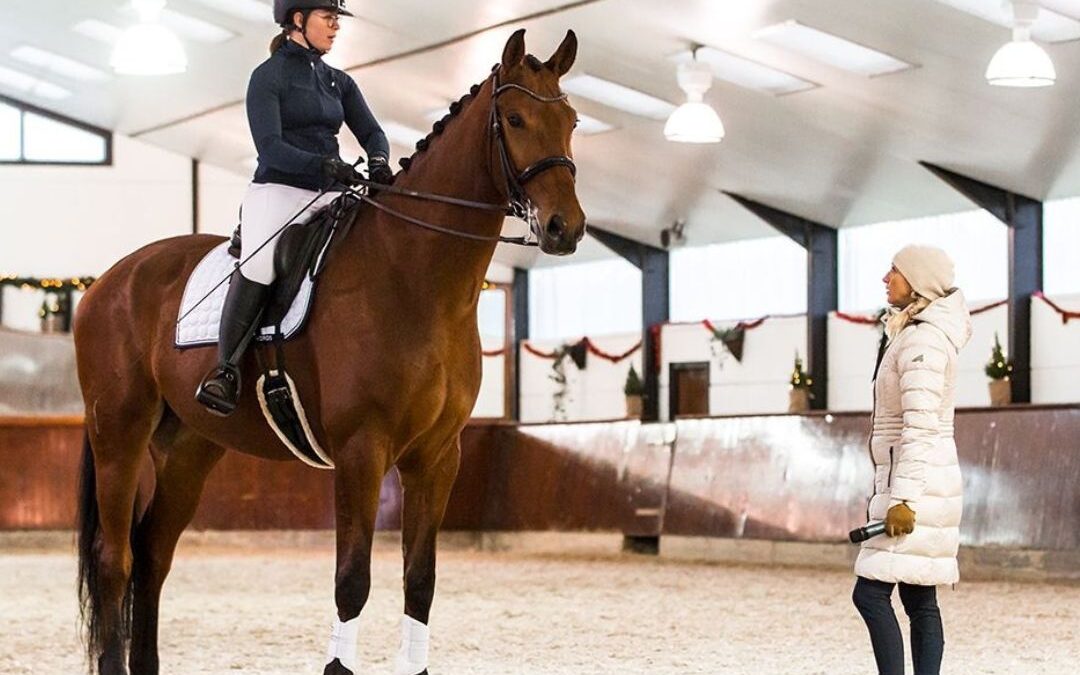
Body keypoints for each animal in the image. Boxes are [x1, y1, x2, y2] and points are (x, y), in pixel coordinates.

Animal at [73, 27, 583, 673]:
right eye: (515, 119)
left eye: (571, 120)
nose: (567, 228)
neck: (415, 278)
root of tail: (108, 281)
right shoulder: (362, 450)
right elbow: (352, 580)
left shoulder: (438, 456)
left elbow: (420, 581)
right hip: (119, 433)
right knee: (115, 559)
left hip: (189, 447)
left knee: (152, 553)